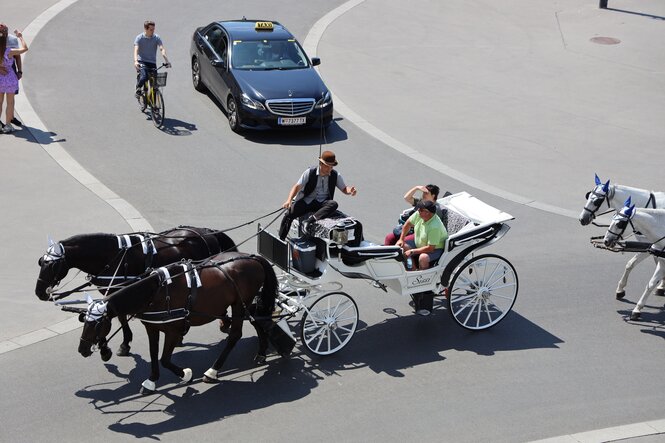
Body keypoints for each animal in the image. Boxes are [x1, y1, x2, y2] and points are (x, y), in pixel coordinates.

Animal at [34, 227, 236, 360]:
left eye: (52, 266)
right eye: (41, 262)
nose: (39, 292)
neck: (112, 256)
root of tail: (209, 232)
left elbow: (118, 317)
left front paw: (111, 347)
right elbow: (116, 315)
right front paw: (114, 344)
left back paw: (224, 322)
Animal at [78, 251, 278, 394]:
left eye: (97, 325)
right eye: (84, 321)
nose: (82, 349)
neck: (157, 291)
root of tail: (252, 257)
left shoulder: (173, 331)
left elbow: (165, 359)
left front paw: (185, 374)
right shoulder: (152, 328)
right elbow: (153, 355)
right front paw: (152, 380)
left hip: (239, 304)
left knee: (236, 334)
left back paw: (213, 371)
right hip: (244, 304)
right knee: (259, 321)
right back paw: (261, 352)